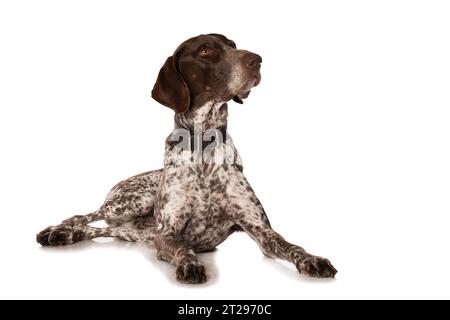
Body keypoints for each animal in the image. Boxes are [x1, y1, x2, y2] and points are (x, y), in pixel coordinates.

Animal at [37, 33, 336, 284]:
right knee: (85, 216)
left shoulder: (260, 229)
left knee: (104, 231)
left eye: (234, 45)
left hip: (137, 229)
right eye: (205, 50)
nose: (257, 59)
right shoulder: (167, 233)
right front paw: (190, 264)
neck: (204, 146)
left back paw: (66, 235)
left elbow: (290, 245)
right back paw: (58, 230)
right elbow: (183, 247)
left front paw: (312, 259)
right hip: (130, 203)